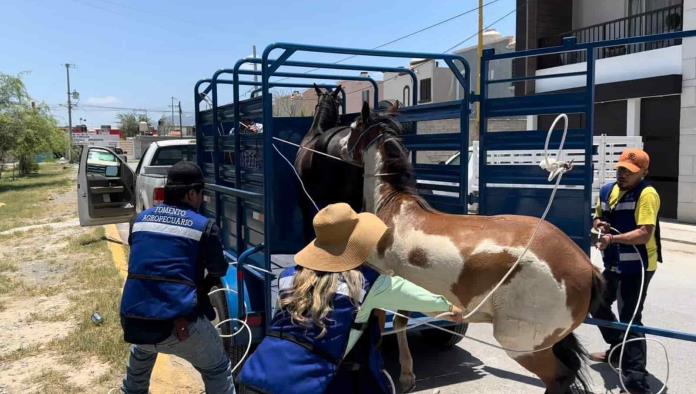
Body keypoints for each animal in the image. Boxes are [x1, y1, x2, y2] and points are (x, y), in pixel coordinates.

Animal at [338, 102, 604, 394]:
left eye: (354, 127)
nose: (340, 146)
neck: (395, 208)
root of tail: (586, 267)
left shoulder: (383, 281)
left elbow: (383, 323)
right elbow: (400, 323)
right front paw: (407, 374)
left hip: (521, 343)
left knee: (560, 377)